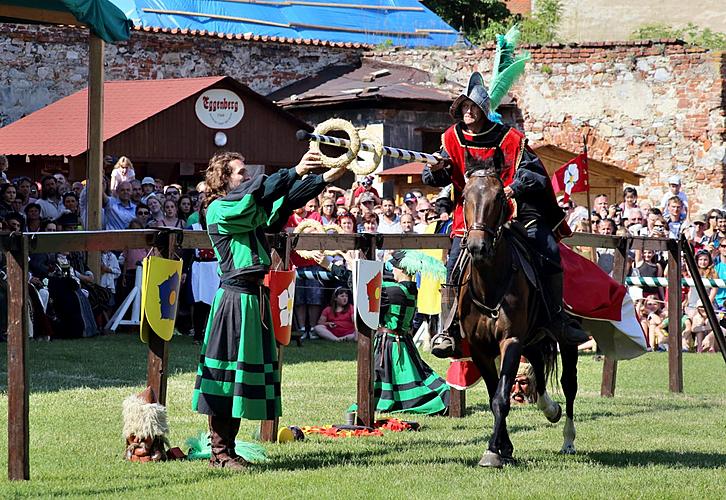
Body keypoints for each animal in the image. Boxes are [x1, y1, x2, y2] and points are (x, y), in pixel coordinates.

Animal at [458, 153, 584, 468]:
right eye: (465, 197)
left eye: (500, 197)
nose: (477, 246)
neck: (490, 284)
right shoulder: (480, 348)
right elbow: (495, 395)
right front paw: (503, 447)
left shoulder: (511, 341)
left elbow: (501, 397)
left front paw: (493, 451)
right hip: (533, 339)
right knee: (538, 368)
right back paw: (549, 408)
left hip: (562, 341)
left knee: (568, 384)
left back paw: (568, 439)